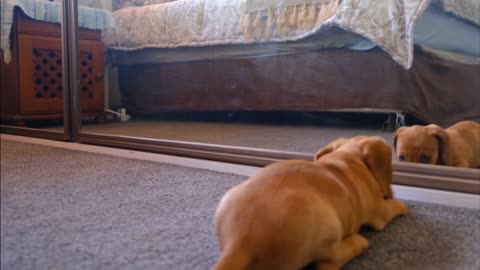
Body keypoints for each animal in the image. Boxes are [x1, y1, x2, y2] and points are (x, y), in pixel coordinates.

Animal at [212, 137, 406, 270]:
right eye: (391, 169)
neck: (348, 157)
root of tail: (239, 241)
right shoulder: (380, 211)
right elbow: (392, 207)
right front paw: (402, 205)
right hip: (329, 227)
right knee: (328, 263)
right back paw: (358, 242)